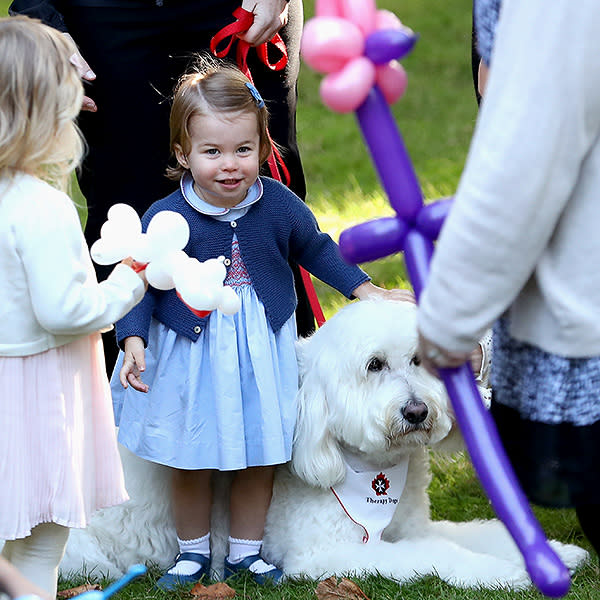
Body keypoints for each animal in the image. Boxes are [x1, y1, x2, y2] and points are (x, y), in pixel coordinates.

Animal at [59, 300, 584, 592]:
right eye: (374, 365)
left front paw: (555, 554)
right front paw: (505, 572)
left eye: (419, 361)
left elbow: (475, 532)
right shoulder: (328, 555)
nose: (417, 412)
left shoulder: (411, 528)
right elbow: (436, 555)